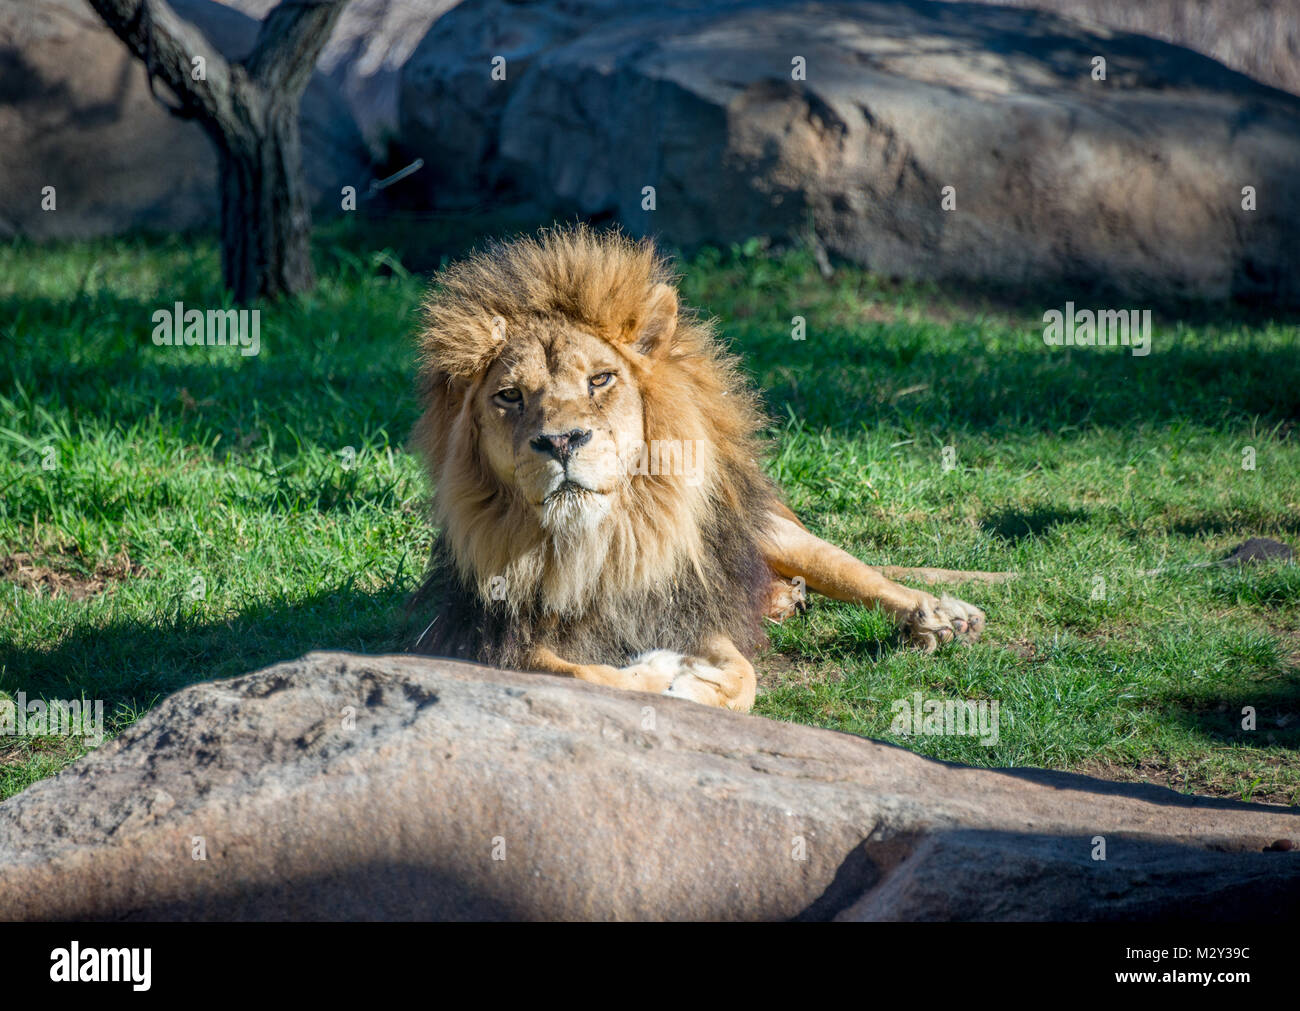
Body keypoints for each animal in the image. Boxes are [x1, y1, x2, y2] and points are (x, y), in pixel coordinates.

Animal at [410, 226, 998, 706]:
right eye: (509, 396)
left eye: (600, 379)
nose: (560, 441)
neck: (598, 544)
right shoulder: (485, 638)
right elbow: (583, 675)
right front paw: (663, 673)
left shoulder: (689, 602)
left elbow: (743, 678)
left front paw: (692, 683)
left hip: (774, 534)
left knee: (855, 570)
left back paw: (938, 616)